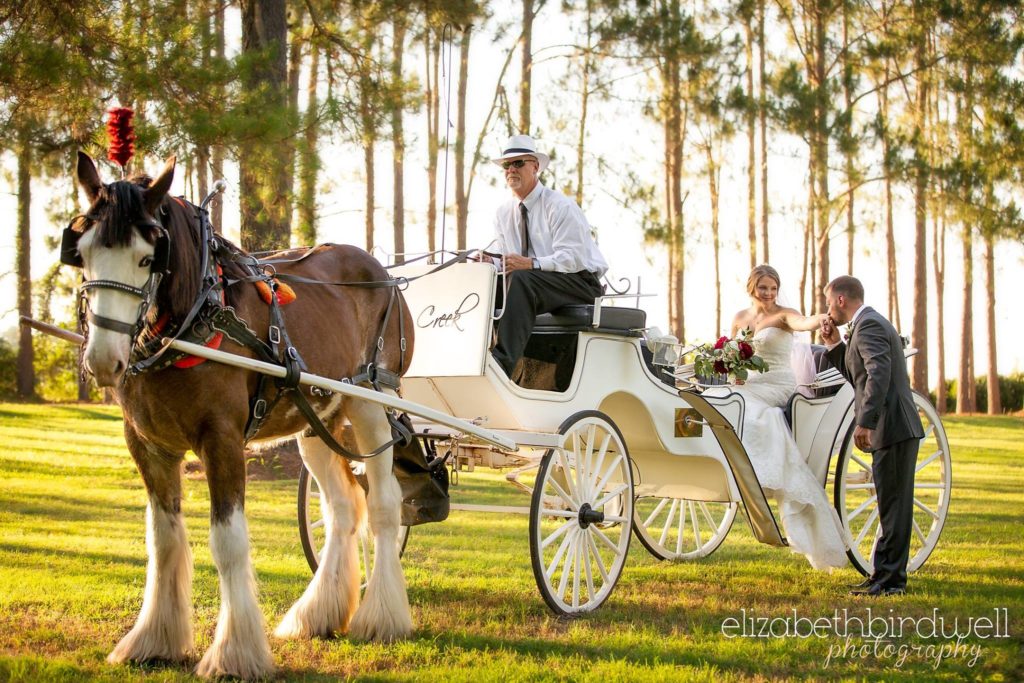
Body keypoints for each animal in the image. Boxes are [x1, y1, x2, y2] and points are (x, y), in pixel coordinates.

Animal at [70, 152, 413, 679]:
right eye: (83, 253)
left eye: (147, 259)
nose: (104, 361)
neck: (197, 319)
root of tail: (383, 270)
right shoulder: (148, 446)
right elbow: (163, 541)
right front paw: (153, 639)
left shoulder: (222, 440)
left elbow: (227, 542)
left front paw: (234, 653)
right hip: (316, 422)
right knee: (342, 507)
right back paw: (319, 613)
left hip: (373, 400)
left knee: (383, 505)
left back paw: (382, 617)